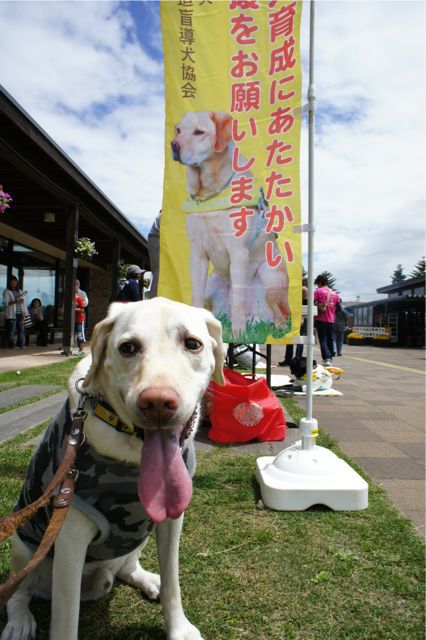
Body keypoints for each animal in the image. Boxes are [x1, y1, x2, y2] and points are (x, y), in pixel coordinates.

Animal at [0, 298, 225, 640]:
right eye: (128, 347)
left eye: (192, 344)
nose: (158, 403)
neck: (132, 456)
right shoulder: (70, 538)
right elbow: (65, 622)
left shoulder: (172, 521)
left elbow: (173, 583)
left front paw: (178, 627)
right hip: (23, 546)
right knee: (18, 592)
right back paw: (19, 621)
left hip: (135, 541)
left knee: (128, 569)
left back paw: (148, 580)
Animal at [171, 111, 290, 336]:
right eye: (179, 130)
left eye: (199, 132)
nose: (173, 145)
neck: (210, 194)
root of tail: (258, 317)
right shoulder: (197, 253)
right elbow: (195, 296)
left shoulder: (238, 251)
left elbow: (238, 303)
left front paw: (239, 334)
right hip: (213, 281)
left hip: (270, 276)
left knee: (280, 315)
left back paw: (275, 327)